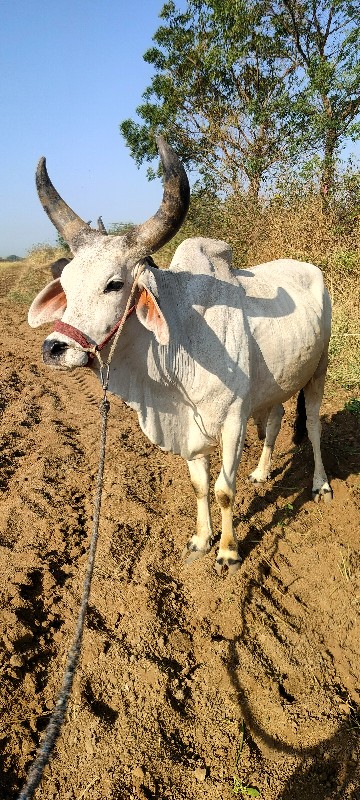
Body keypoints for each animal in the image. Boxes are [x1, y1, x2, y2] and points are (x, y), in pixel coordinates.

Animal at [28, 138, 332, 576]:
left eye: (114, 284)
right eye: (65, 284)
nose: (54, 348)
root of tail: (311, 269)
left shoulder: (233, 420)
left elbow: (223, 490)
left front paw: (228, 551)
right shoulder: (190, 425)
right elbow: (199, 485)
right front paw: (202, 540)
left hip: (319, 369)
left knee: (313, 426)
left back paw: (320, 484)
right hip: (274, 384)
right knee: (275, 419)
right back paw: (261, 472)